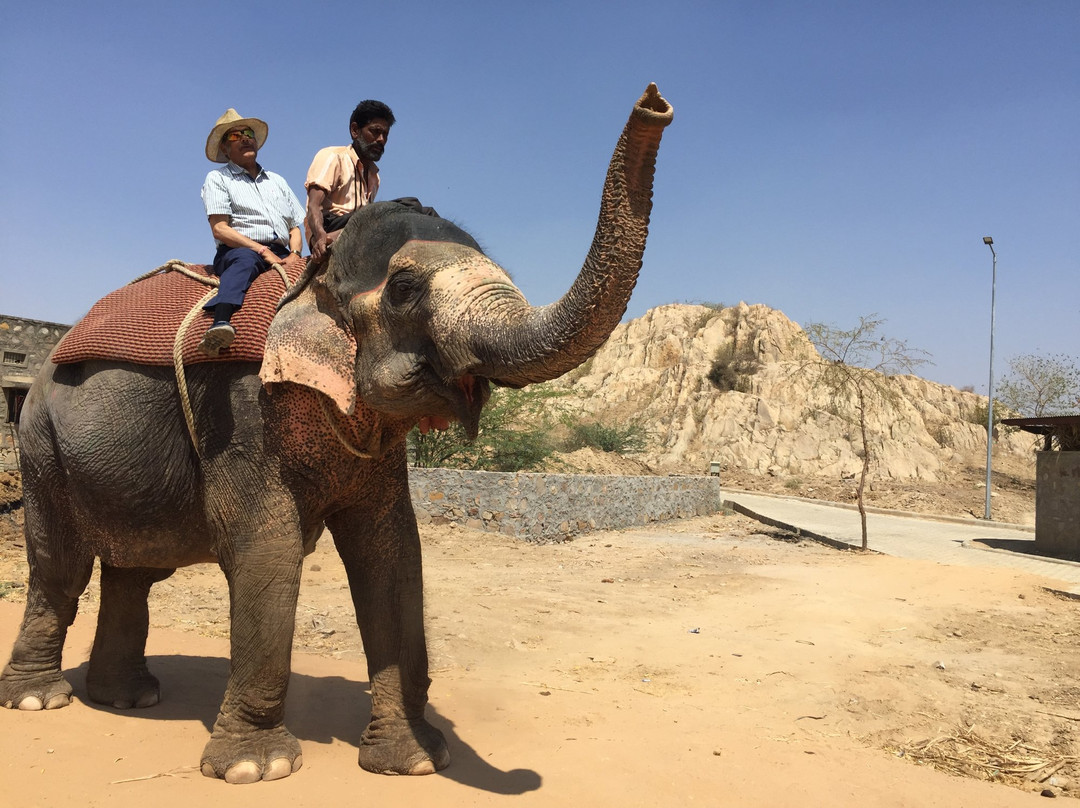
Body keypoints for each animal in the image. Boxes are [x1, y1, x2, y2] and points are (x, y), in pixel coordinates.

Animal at [2, 83, 673, 782]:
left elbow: (393, 552)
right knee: (59, 565)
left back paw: (129, 698)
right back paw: (38, 699)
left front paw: (413, 760)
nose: (655, 101)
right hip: (41, 440)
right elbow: (264, 546)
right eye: (403, 287)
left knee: (132, 570)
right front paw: (255, 769)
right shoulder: (243, 411)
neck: (311, 283)